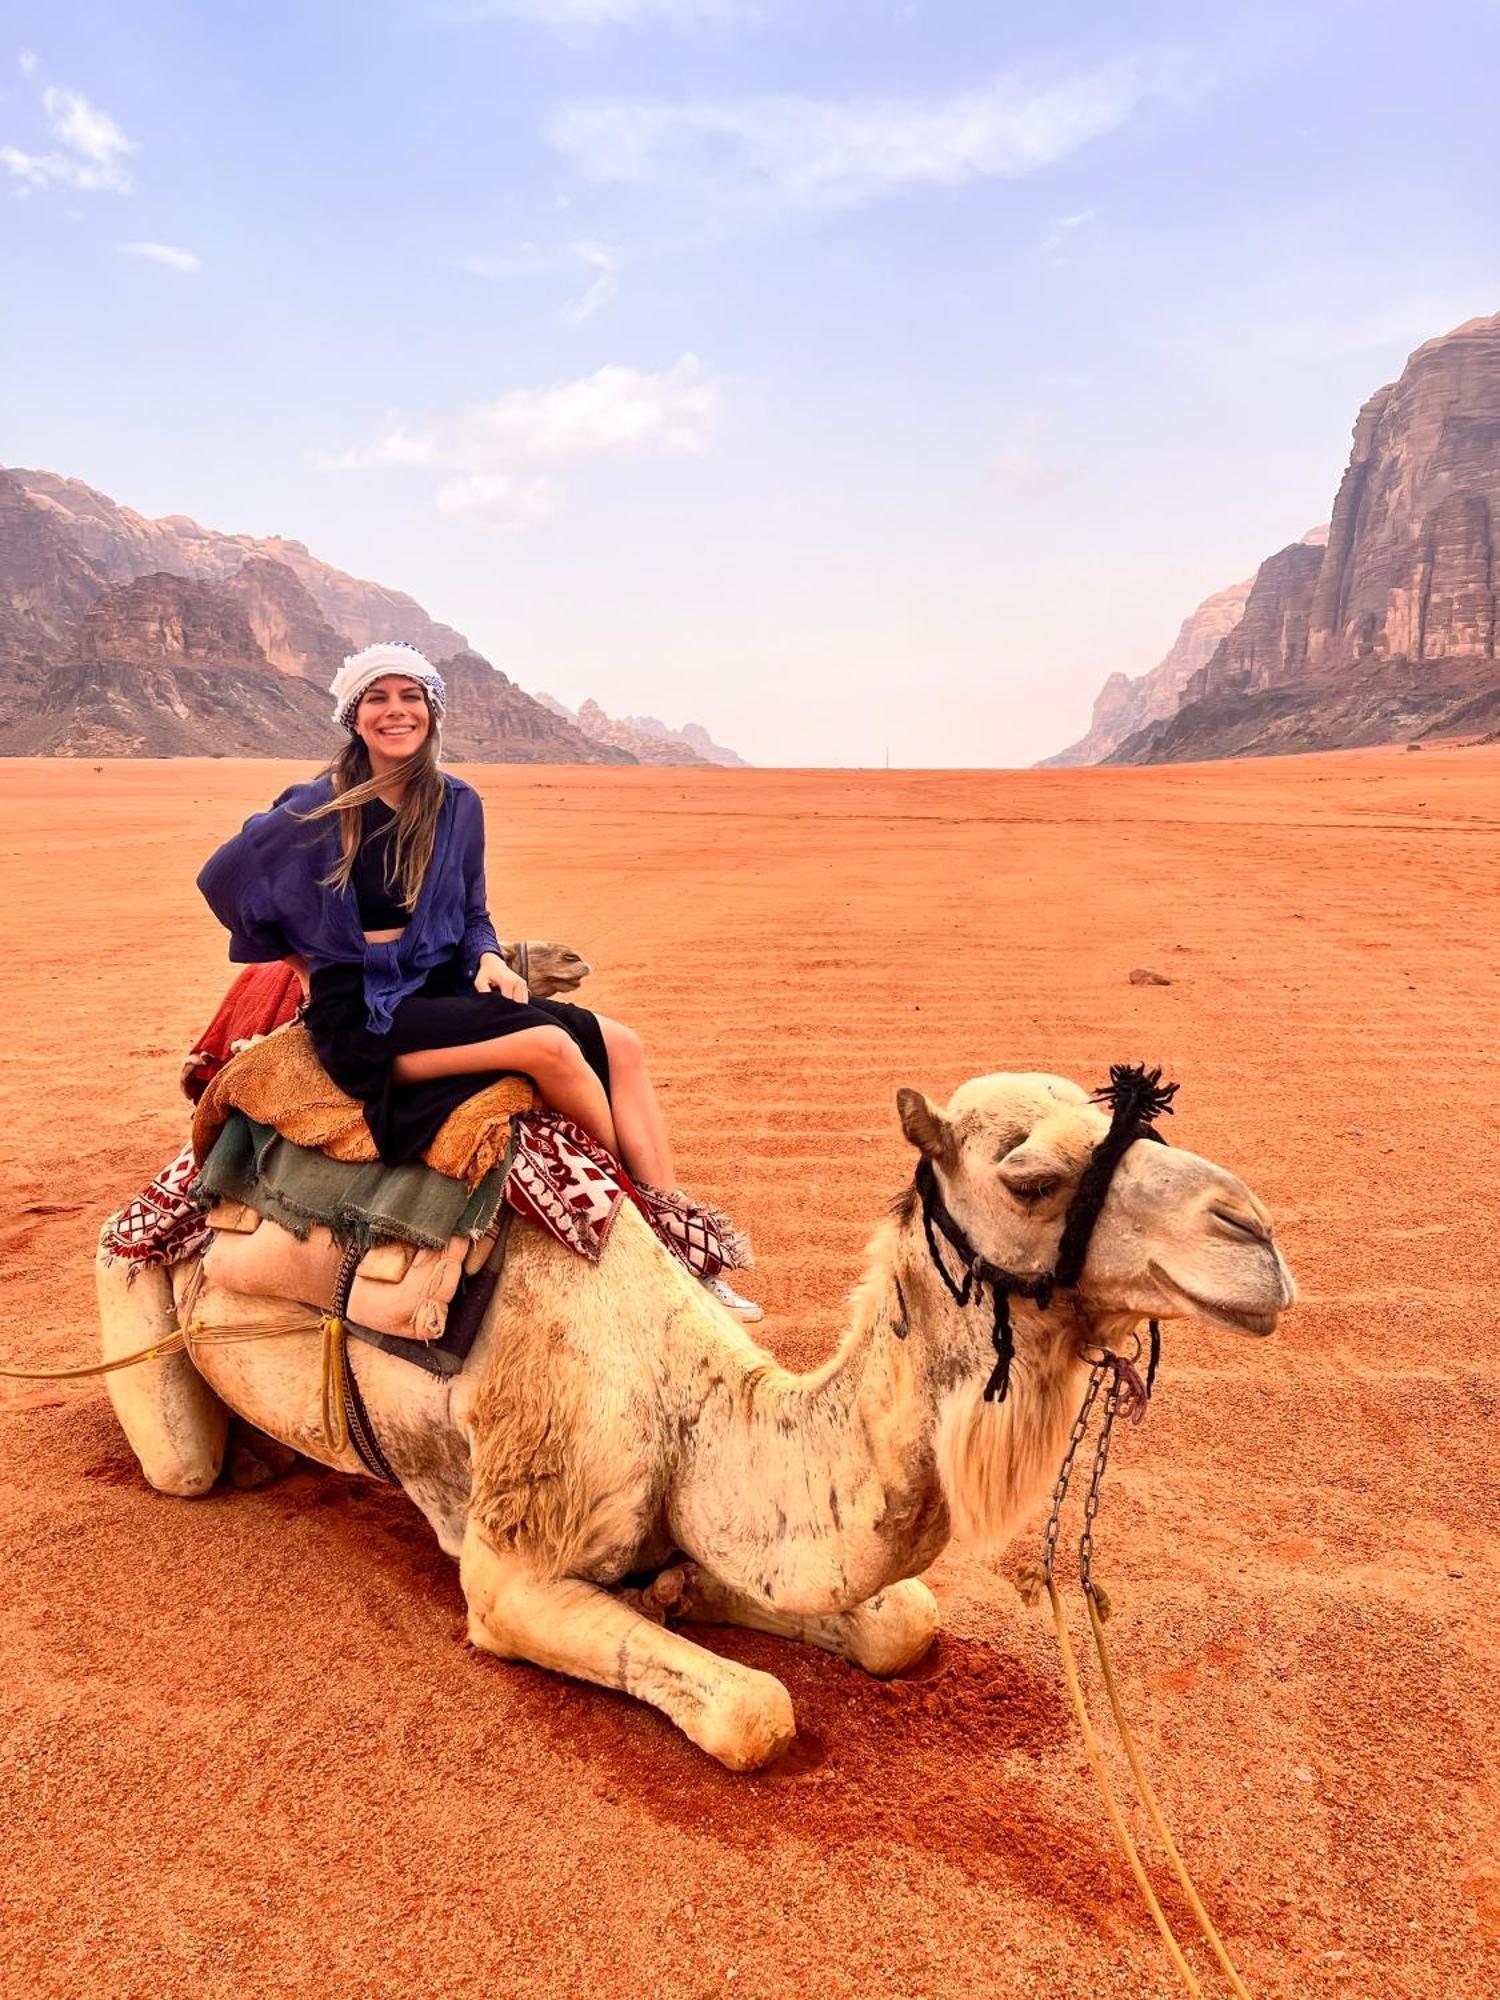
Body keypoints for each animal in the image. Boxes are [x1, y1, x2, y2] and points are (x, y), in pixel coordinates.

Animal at [97, 1072, 1296, 1776]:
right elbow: (753, 1710)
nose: (1256, 1234)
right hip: (128, 1289)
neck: (691, 1407)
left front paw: (680, 1591)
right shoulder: (511, 1569)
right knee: (184, 1461)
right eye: (1034, 1177)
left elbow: (900, 1622)